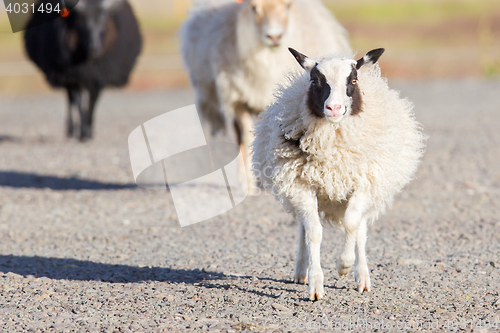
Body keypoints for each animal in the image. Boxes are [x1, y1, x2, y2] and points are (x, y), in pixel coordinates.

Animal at [25, 0, 143, 140]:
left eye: (104, 23)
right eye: (82, 23)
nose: (95, 48)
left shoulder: (98, 78)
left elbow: (92, 103)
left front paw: (89, 130)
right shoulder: (74, 76)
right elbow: (79, 102)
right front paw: (82, 132)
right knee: (70, 100)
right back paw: (71, 129)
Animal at [181, 0, 352, 192]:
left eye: (287, 6)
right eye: (254, 8)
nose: (274, 37)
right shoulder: (238, 100)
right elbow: (247, 138)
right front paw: (248, 184)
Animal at [254, 48, 426, 300]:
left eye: (353, 81)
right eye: (314, 81)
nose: (333, 109)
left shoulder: (364, 183)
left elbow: (352, 224)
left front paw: (344, 266)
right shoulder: (301, 185)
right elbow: (313, 232)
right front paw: (315, 284)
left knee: (361, 229)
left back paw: (362, 277)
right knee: (304, 227)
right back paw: (301, 270)